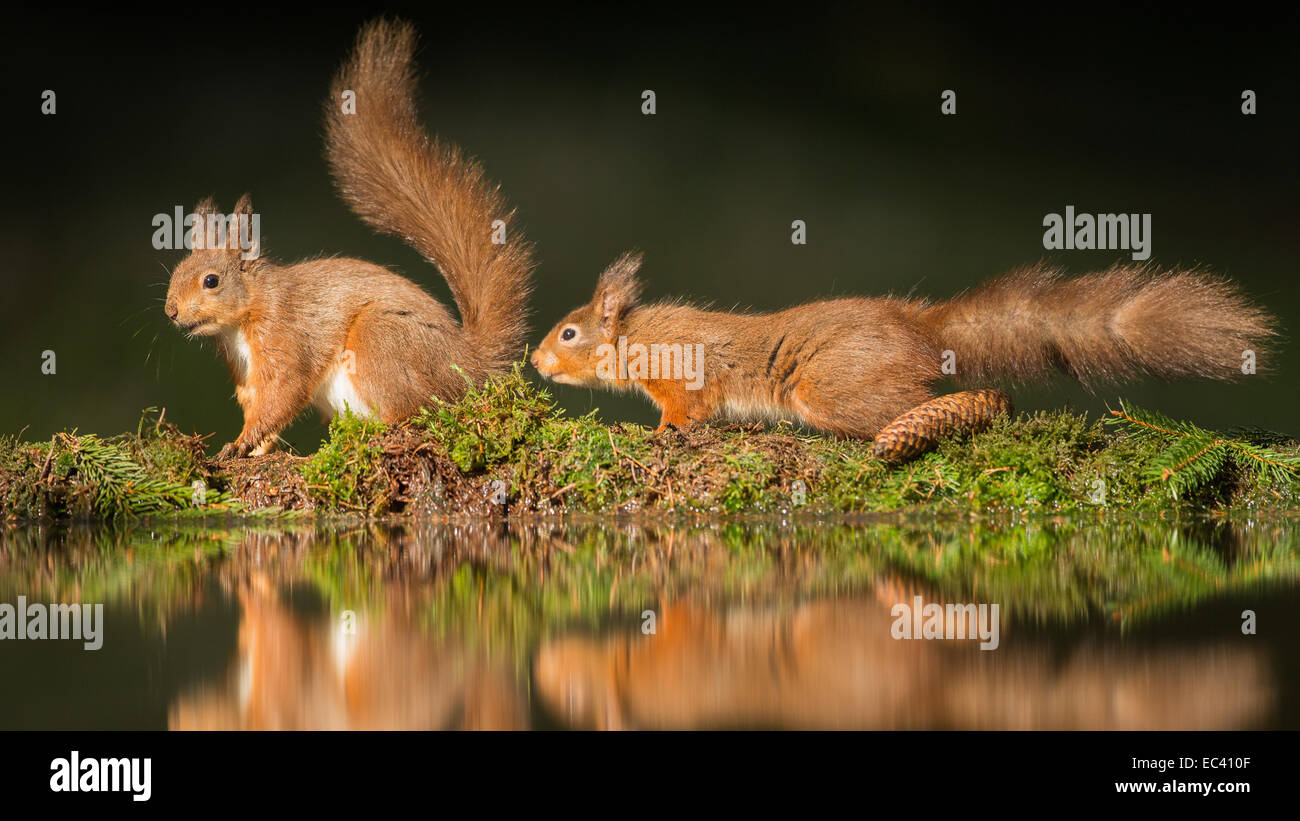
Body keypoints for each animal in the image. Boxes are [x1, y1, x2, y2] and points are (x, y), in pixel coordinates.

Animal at [164, 19, 532, 459]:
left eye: (211, 281)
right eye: (176, 271)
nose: (170, 311)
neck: (246, 315)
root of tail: (470, 367)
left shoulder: (286, 338)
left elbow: (283, 394)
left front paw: (240, 444)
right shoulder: (246, 375)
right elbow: (262, 409)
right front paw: (254, 449)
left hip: (380, 337)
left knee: (415, 412)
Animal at [531, 254, 1277, 460]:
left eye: (568, 334)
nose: (536, 362)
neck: (631, 337)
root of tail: (917, 328)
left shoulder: (683, 373)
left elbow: (684, 412)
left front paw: (656, 433)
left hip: (832, 388)